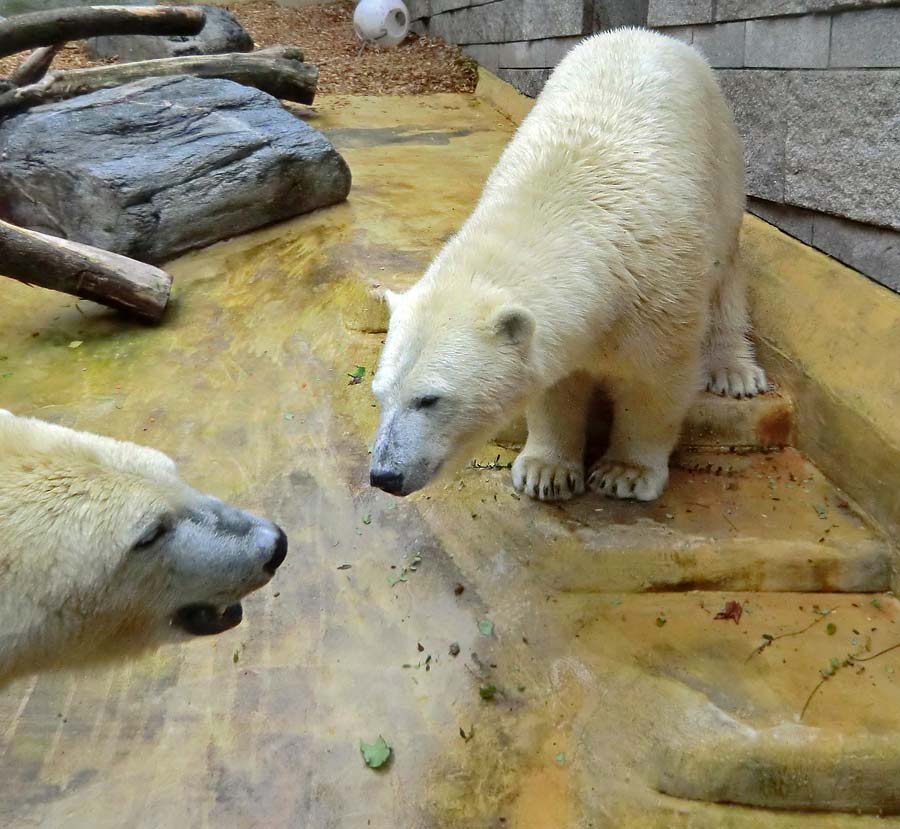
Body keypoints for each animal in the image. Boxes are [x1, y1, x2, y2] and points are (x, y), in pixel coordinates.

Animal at [370, 27, 768, 498]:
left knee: (726, 268)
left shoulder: (662, 290)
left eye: (430, 398)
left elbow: (654, 385)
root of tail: (646, 34)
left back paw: (734, 371)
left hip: (720, 156)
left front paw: (626, 473)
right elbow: (555, 387)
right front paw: (547, 472)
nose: (384, 475)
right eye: (380, 394)